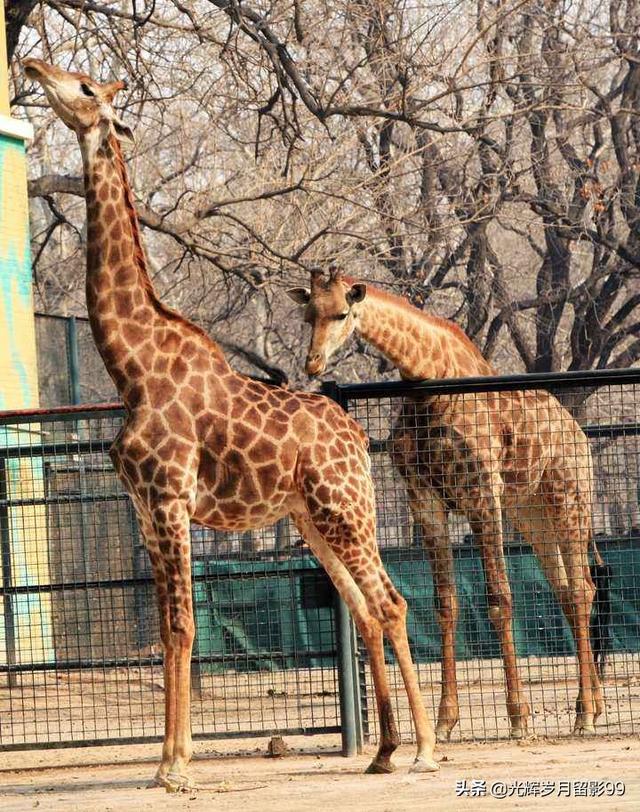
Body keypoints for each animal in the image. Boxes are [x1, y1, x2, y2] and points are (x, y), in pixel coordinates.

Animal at [25, 60, 442, 788]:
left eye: (83, 88)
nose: (31, 66)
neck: (131, 369)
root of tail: (357, 437)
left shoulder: (169, 499)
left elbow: (183, 627)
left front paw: (175, 768)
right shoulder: (145, 508)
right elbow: (171, 628)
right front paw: (169, 760)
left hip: (347, 509)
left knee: (389, 603)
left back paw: (423, 748)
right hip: (311, 517)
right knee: (364, 608)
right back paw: (384, 751)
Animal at [288, 268, 604, 744]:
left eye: (342, 312)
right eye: (308, 314)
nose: (313, 363)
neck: (428, 379)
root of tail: (579, 434)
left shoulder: (482, 495)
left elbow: (499, 599)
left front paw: (518, 716)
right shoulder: (425, 502)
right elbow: (445, 604)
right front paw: (445, 719)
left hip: (569, 499)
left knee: (583, 588)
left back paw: (584, 712)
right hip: (531, 516)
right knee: (567, 591)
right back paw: (594, 705)